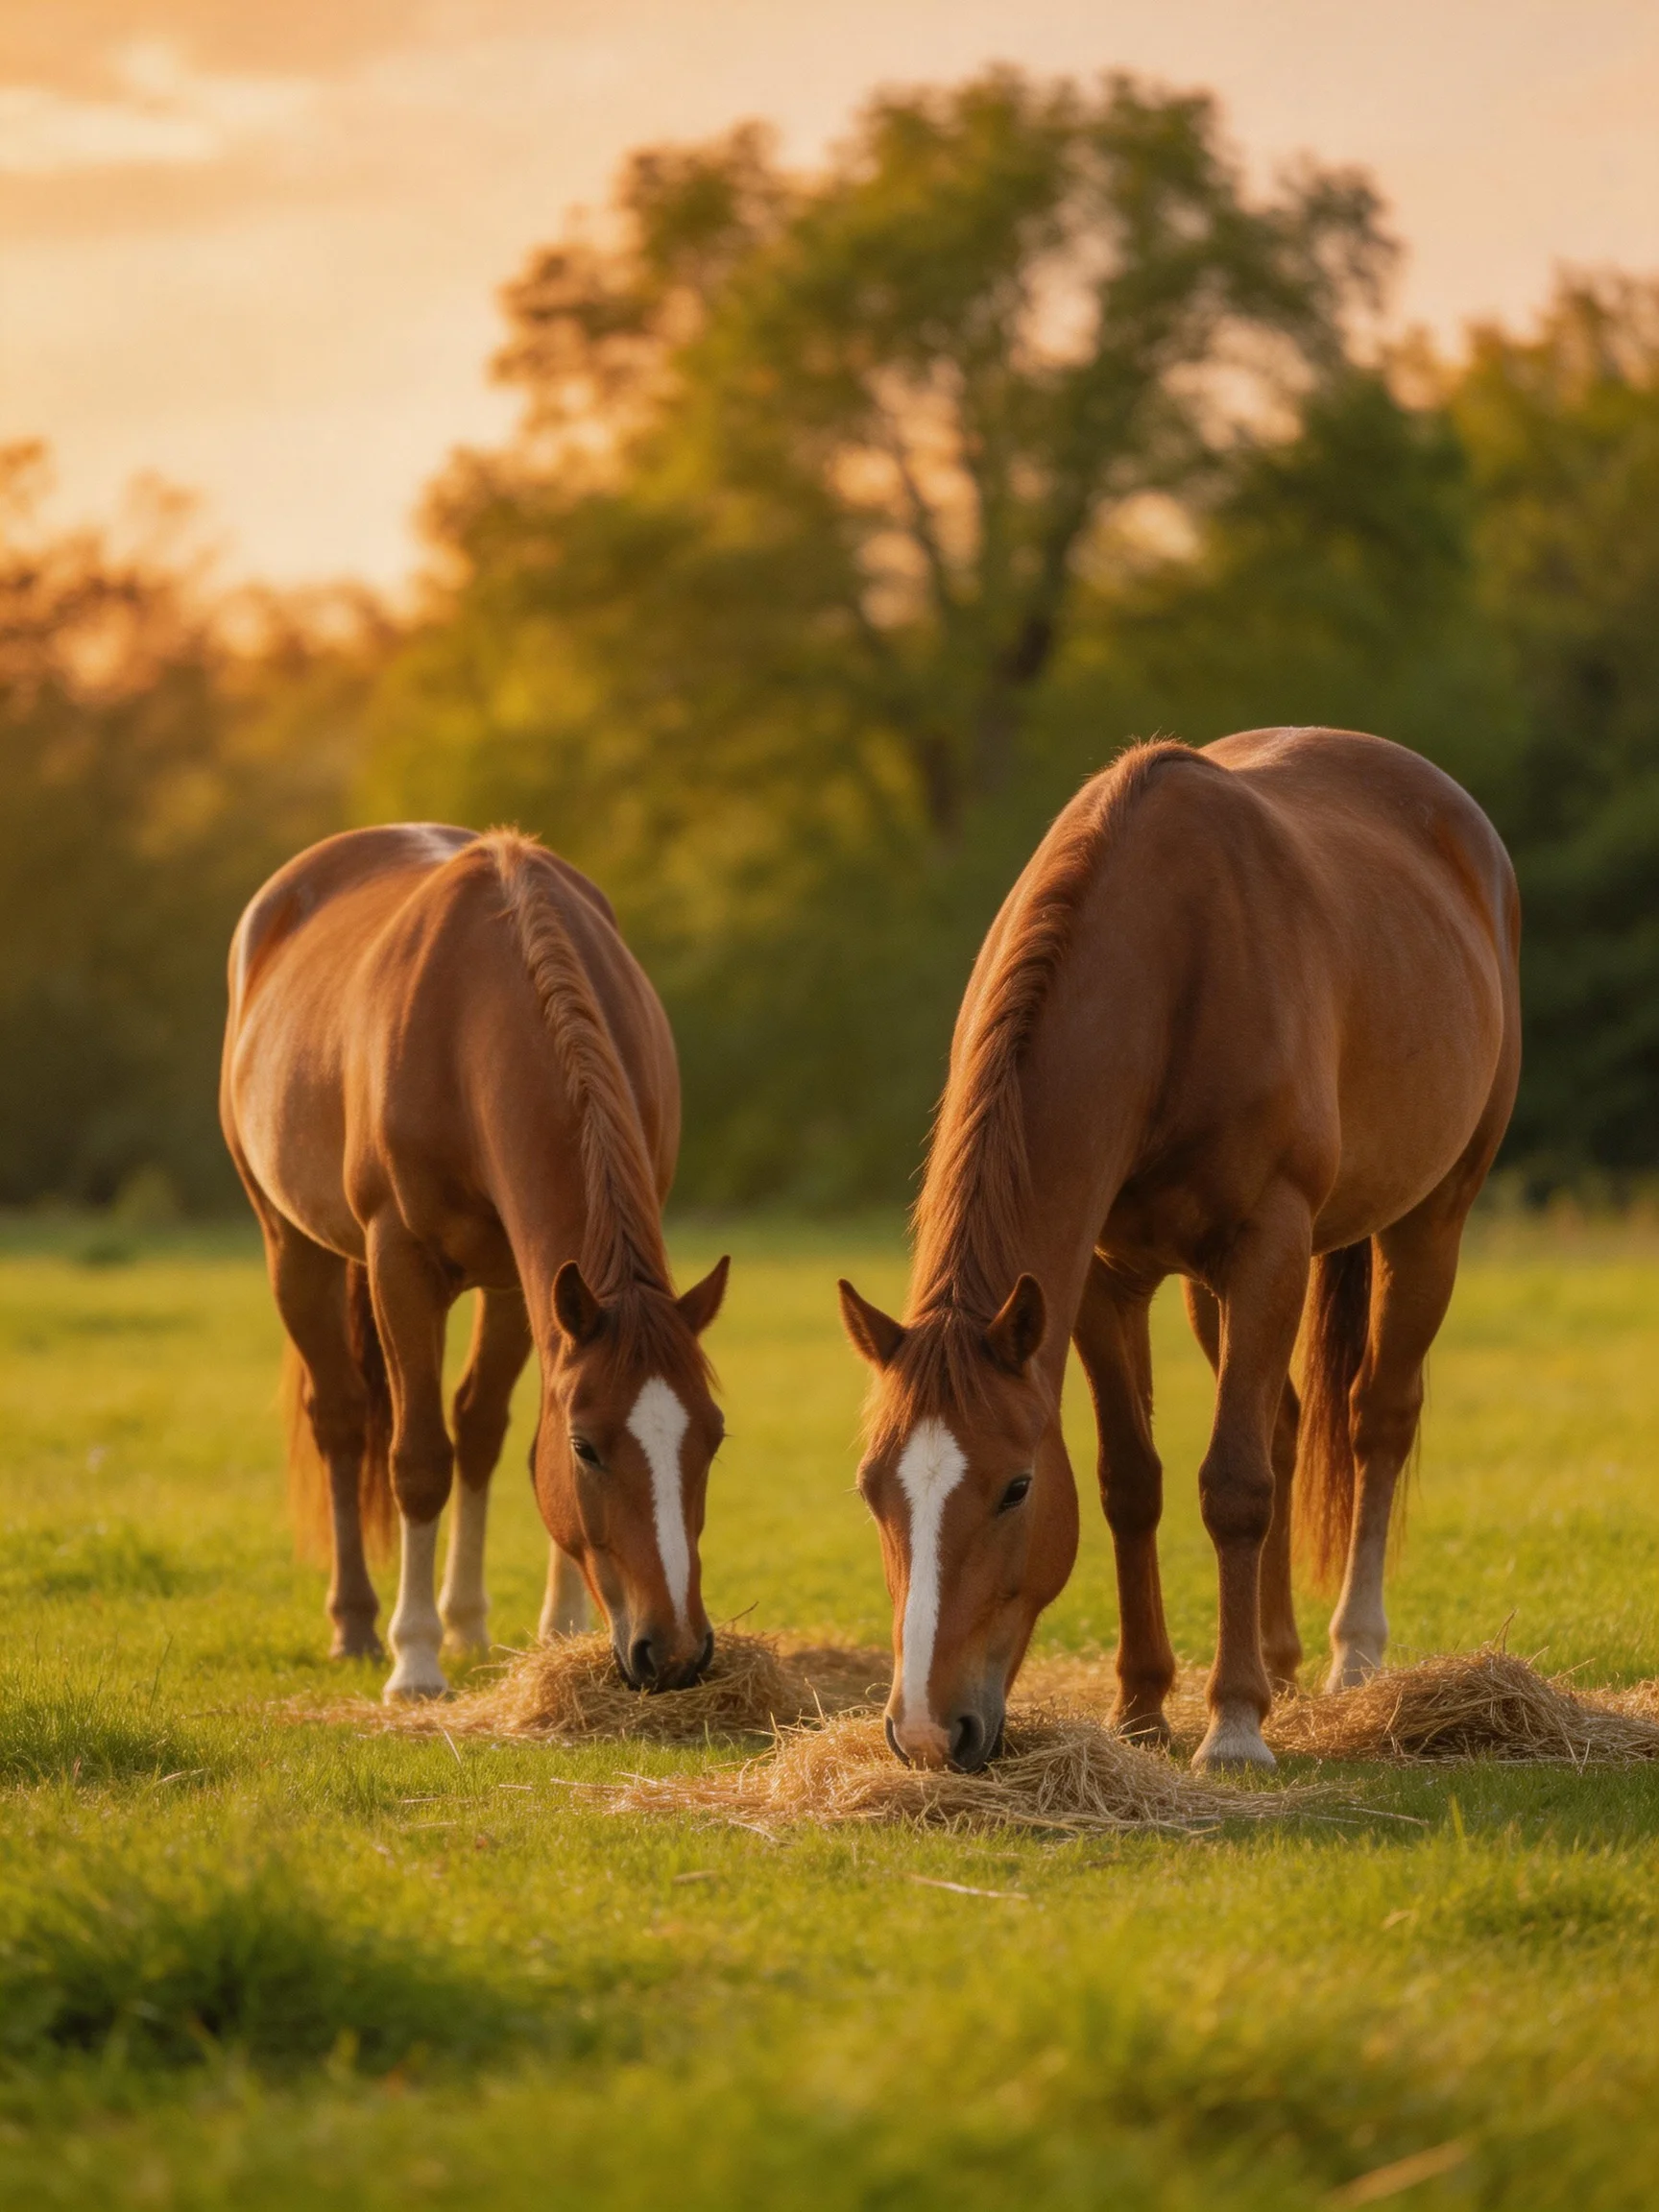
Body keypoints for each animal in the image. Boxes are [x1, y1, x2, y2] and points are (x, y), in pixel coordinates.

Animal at [220, 823, 729, 1702]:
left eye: (714, 1437)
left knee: (476, 1426)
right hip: (293, 1247)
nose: (672, 1653)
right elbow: (420, 1456)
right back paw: (358, 1625)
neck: (478, 1021)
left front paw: (556, 1631)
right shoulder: (400, 1263)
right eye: (587, 1449)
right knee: (343, 1418)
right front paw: (417, 1661)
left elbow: (493, 1435)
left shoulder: (530, 1286)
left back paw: (466, 1622)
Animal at [838, 728, 1520, 1772]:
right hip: (1216, 1290)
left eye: (1015, 1488)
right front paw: (1142, 1708)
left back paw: (1350, 1659)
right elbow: (1134, 1483)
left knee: (1376, 1421)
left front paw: (1232, 1724)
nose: (923, 1730)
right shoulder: (1101, 1283)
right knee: (1285, 1421)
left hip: (1427, 1223)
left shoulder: (1267, 1244)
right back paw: (1278, 1658)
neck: (1167, 976)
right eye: (873, 1489)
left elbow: (1233, 1485)